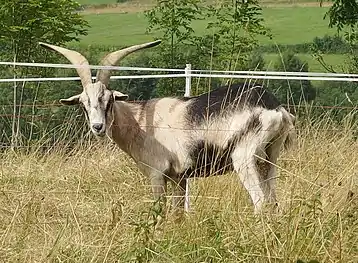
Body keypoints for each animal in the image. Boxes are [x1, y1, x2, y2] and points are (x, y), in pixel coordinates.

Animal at [39, 40, 296, 216]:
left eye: (109, 100)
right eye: (84, 104)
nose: (98, 126)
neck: (140, 122)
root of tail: (274, 107)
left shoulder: (157, 174)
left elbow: (160, 212)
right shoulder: (179, 178)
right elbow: (178, 214)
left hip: (244, 158)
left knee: (261, 203)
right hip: (269, 159)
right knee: (274, 202)